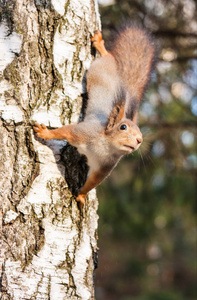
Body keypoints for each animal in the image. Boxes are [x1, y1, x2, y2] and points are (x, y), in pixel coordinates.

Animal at [33, 25, 155, 206]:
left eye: (141, 133)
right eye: (123, 127)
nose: (139, 140)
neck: (104, 146)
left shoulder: (104, 167)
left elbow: (92, 183)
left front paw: (81, 196)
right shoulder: (83, 132)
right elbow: (65, 131)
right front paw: (45, 132)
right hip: (98, 69)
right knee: (107, 58)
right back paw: (101, 46)